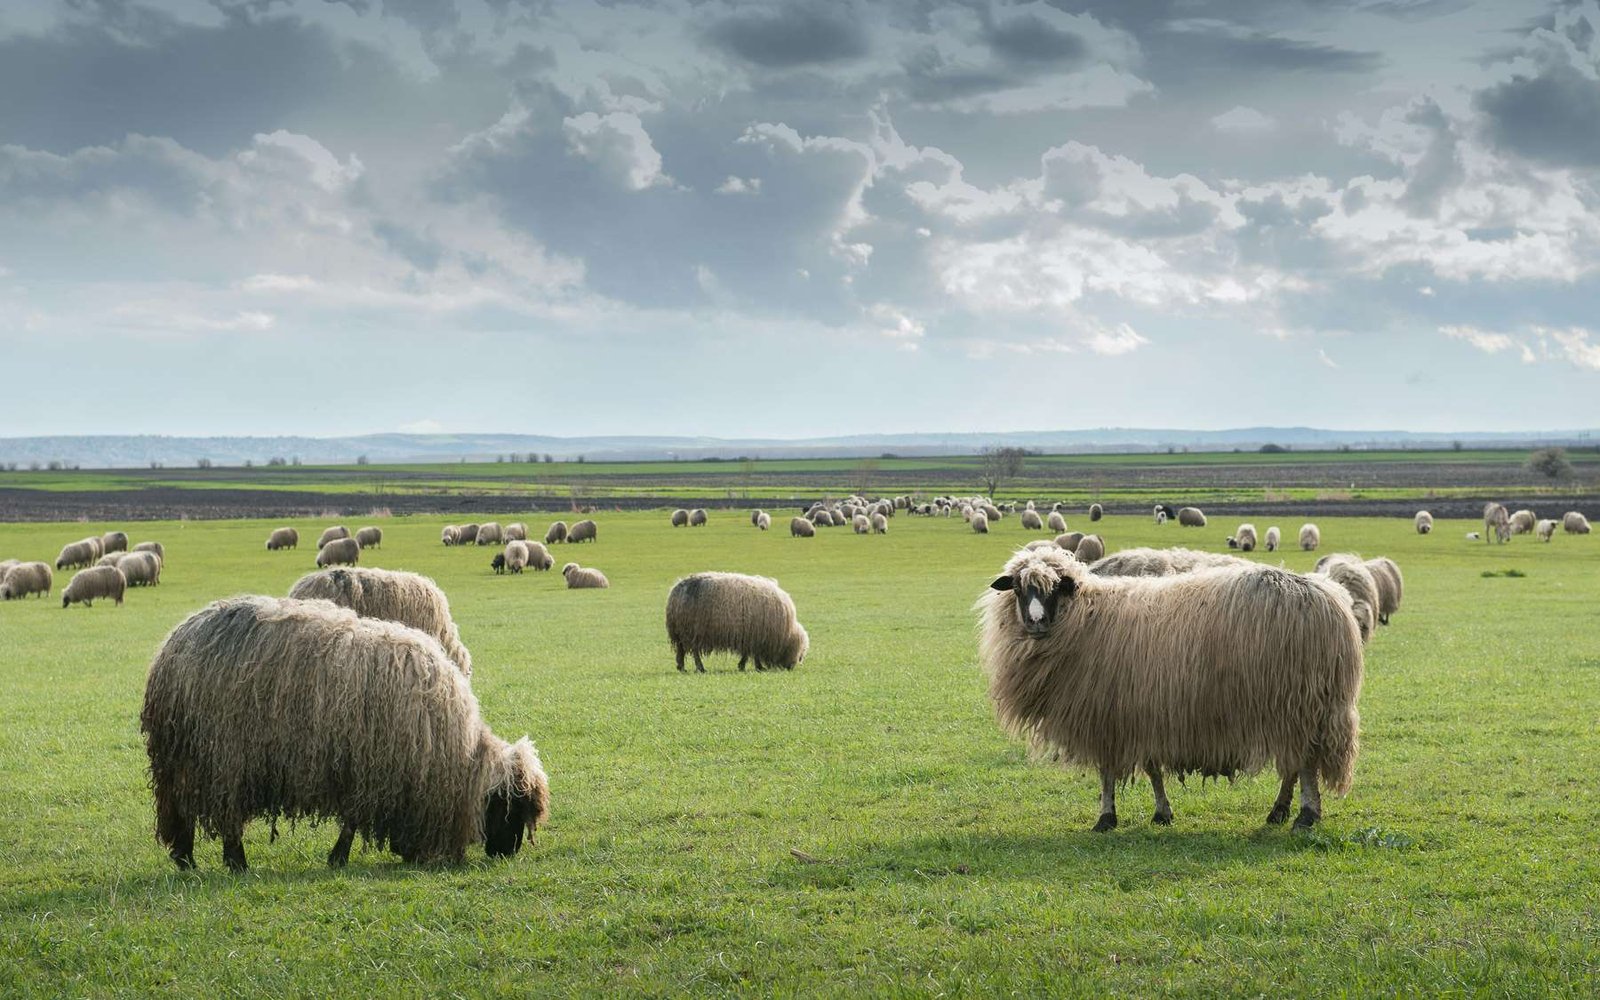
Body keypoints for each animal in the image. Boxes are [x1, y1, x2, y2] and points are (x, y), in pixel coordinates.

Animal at [140, 596, 547, 871]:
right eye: (510, 807)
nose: (507, 854)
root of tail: (173, 645)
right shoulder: (371, 770)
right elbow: (352, 820)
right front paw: (338, 857)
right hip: (222, 755)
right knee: (223, 814)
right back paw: (235, 862)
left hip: (188, 758)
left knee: (182, 809)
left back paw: (187, 859)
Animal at [665, 572, 809, 673]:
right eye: (799, 653)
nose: (790, 667)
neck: (786, 633)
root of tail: (675, 591)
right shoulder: (756, 637)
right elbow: (753, 654)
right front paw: (757, 666)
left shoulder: (750, 637)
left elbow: (748, 653)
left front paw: (744, 665)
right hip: (693, 631)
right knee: (694, 652)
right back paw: (700, 668)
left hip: (681, 632)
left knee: (681, 650)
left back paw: (681, 667)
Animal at [979, 546, 1363, 832]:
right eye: (1018, 589)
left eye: (1056, 587)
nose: (1036, 621)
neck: (1086, 616)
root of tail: (1330, 598)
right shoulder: (1143, 712)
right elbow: (1151, 768)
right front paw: (1161, 812)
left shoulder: (1107, 714)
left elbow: (1108, 772)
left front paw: (1107, 817)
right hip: (1294, 705)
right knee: (1294, 763)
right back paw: (1280, 811)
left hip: (1301, 701)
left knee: (1306, 762)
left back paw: (1305, 815)